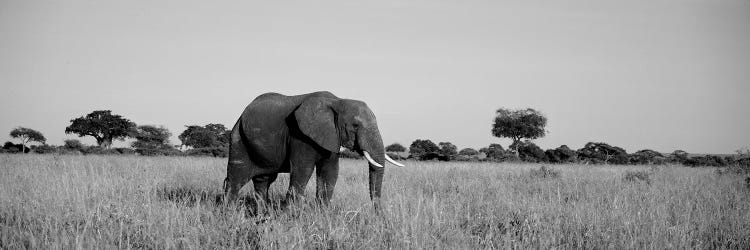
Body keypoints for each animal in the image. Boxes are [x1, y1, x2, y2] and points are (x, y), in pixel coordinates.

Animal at [223, 91, 406, 206]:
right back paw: (229, 214)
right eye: (355, 125)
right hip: (238, 137)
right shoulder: (300, 135)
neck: (337, 101)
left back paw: (261, 214)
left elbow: (330, 173)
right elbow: (303, 171)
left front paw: (322, 216)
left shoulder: (331, 135)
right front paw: (292, 219)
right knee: (235, 180)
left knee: (263, 181)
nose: (377, 213)